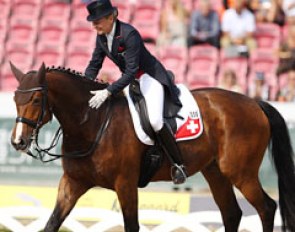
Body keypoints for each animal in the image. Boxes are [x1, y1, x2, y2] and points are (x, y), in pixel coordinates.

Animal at [10, 62, 295, 232]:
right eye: (14, 98)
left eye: (36, 98)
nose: (18, 141)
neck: (92, 122)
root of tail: (255, 103)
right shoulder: (73, 183)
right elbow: (51, 223)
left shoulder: (125, 184)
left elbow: (132, 225)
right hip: (215, 172)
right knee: (232, 213)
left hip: (241, 172)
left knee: (266, 207)